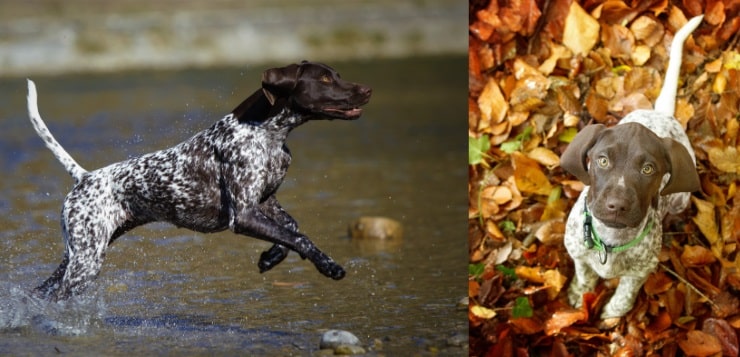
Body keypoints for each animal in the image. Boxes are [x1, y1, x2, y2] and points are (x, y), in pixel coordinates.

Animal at [26, 61, 372, 300]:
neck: (266, 134)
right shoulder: (244, 216)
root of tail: (84, 177)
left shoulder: (265, 203)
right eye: (325, 78)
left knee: (40, 290)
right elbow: (299, 238)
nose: (367, 90)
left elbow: (293, 231)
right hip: (86, 262)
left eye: (336, 74)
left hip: (80, 253)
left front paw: (271, 257)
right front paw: (328, 266)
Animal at [564, 16, 704, 320]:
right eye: (602, 160)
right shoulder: (577, 253)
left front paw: (611, 315)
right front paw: (579, 293)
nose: (617, 205)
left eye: (648, 169)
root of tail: (661, 113)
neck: (610, 240)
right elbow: (584, 274)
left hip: (681, 199)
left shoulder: (639, 273)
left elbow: (624, 296)